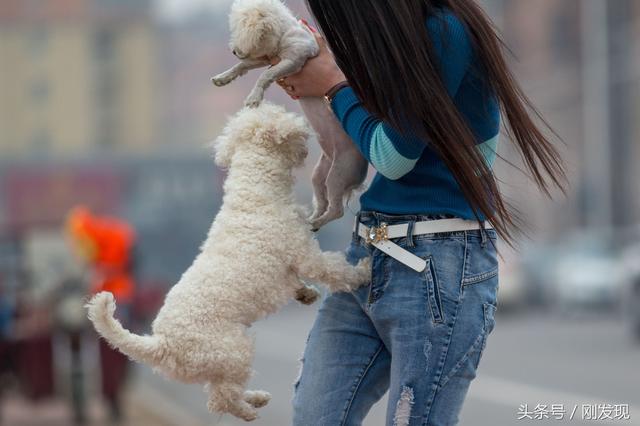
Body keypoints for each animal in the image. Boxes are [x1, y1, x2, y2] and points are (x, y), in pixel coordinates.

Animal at [84, 104, 370, 422]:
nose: (306, 126)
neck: (255, 192)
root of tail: (161, 345)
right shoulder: (303, 252)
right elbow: (331, 268)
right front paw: (363, 271)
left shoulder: (289, 261)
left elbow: (297, 279)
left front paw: (306, 293)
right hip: (233, 350)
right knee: (221, 400)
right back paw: (249, 410)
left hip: (220, 360)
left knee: (220, 391)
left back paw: (255, 398)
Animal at [212, 0, 368, 231]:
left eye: (243, 33)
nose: (232, 50)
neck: (284, 34)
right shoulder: (267, 58)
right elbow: (243, 66)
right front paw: (223, 78)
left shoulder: (293, 59)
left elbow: (264, 75)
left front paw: (254, 97)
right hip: (319, 174)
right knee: (322, 201)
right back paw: (311, 220)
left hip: (339, 173)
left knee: (336, 209)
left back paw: (314, 223)